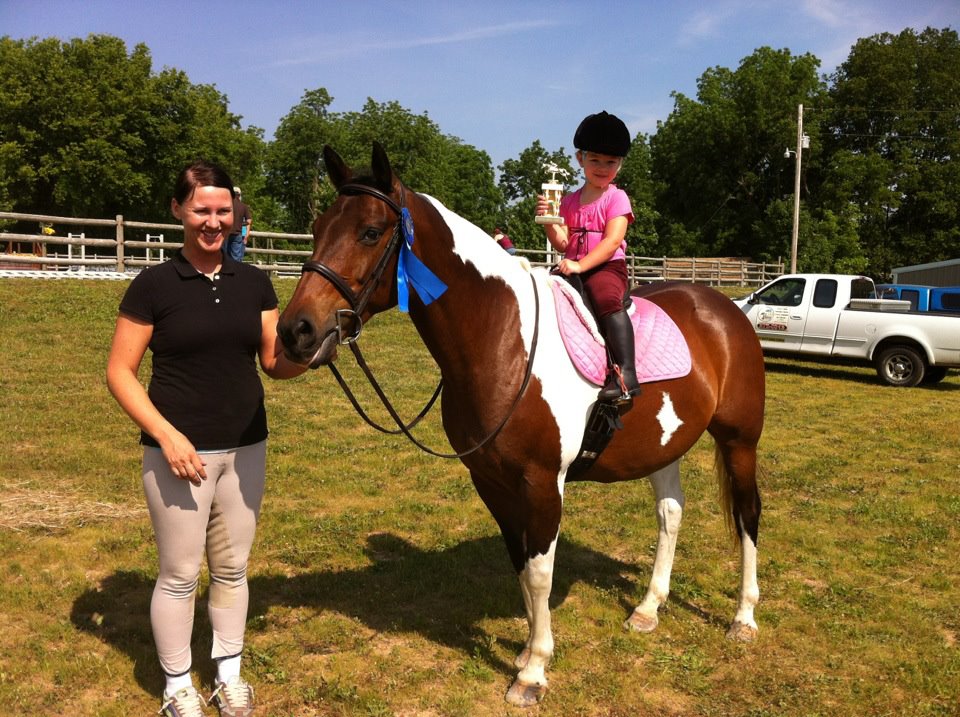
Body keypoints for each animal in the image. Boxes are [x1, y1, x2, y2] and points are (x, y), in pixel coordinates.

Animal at [278, 143, 765, 707]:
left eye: (371, 232)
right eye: (317, 227)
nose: (295, 331)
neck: (503, 338)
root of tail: (725, 307)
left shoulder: (541, 483)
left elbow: (539, 574)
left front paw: (533, 671)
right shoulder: (491, 481)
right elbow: (520, 564)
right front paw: (526, 651)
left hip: (740, 441)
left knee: (748, 516)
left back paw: (743, 618)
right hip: (665, 446)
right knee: (670, 515)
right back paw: (648, 609)